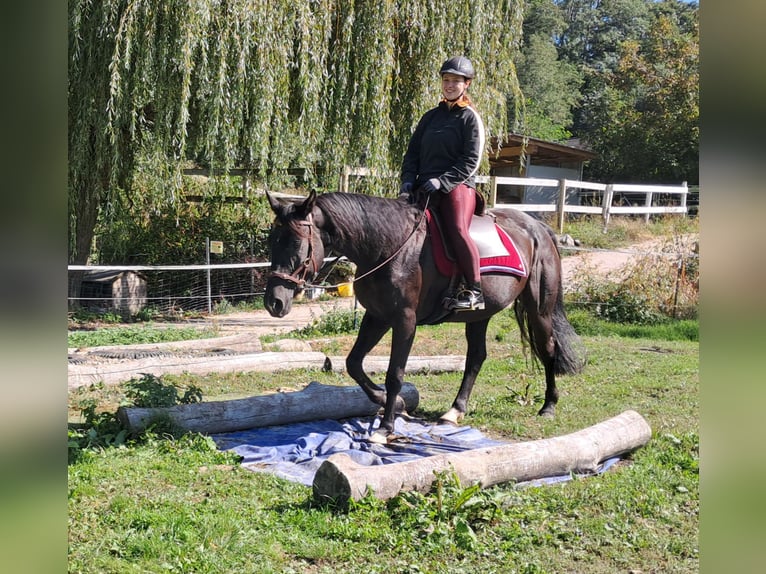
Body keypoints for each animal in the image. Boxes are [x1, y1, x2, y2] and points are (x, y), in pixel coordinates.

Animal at [266, 191, 588, 444]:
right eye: (272, 240)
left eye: (296, 243)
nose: (274, 302)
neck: (390, 247)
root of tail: (537, 227)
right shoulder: (377, 316)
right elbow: (353, 363)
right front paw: (392, 404)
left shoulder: (404, 321)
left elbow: (394, 373)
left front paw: (385, 427)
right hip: (480, 315)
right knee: (476, 357)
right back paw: (454, 411)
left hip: (539, 309)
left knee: (548, 349)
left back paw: (548, 406)